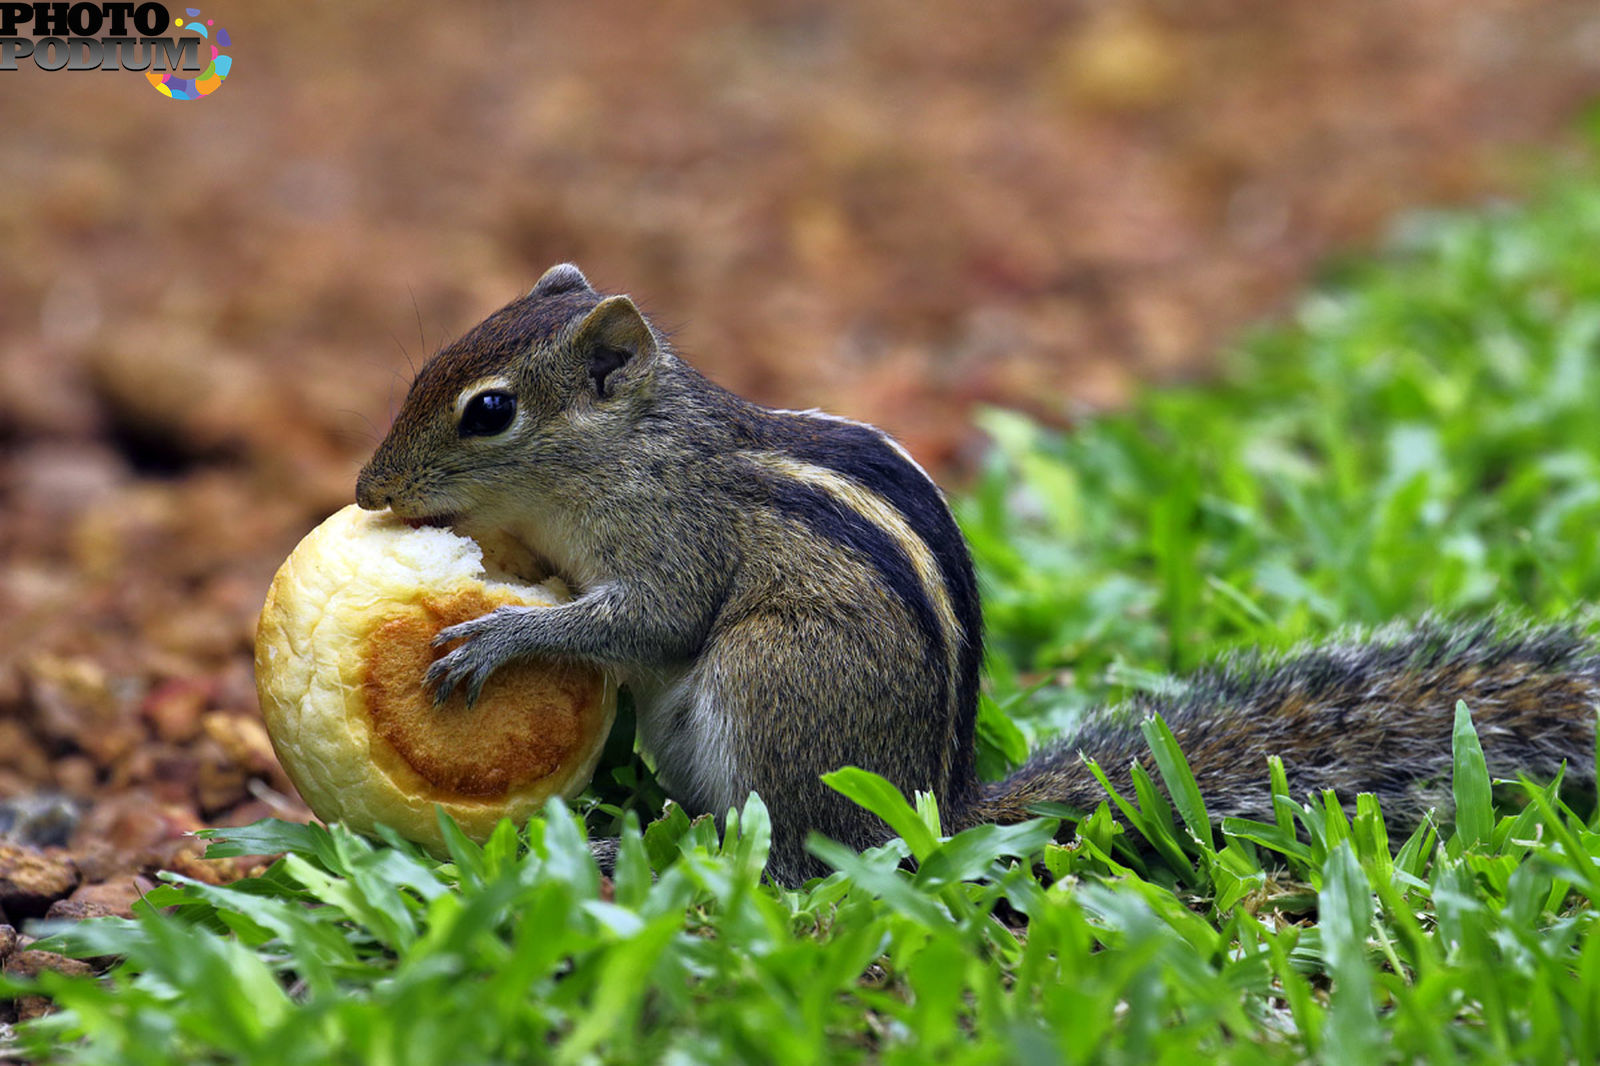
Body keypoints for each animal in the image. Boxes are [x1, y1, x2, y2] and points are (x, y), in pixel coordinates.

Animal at [360, 264, 1600, 877]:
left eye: (487, 411)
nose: (370, 490)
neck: (634, 448)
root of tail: (935, 810)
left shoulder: (676, 543)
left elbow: (645, 623)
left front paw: (499, 637)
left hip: (772, 681)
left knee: (786, 849)